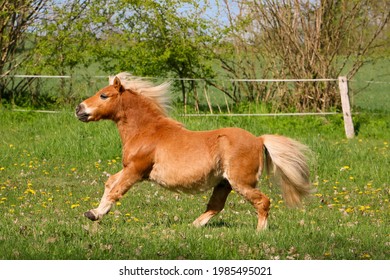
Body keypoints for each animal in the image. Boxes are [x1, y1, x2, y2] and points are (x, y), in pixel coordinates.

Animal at [76, 72, 312, 232]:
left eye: (104, 95)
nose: (79, 109)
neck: (147, 131)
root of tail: (259, 140)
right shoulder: (128, 168)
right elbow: (109, 183)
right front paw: (93, 212)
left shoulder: (135, 170)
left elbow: (116, 191)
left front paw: (95, 214)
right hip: (224, 183)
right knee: (216, 206)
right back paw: (193, 226)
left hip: (241, 182)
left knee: (263, 202)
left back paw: (259, 232)